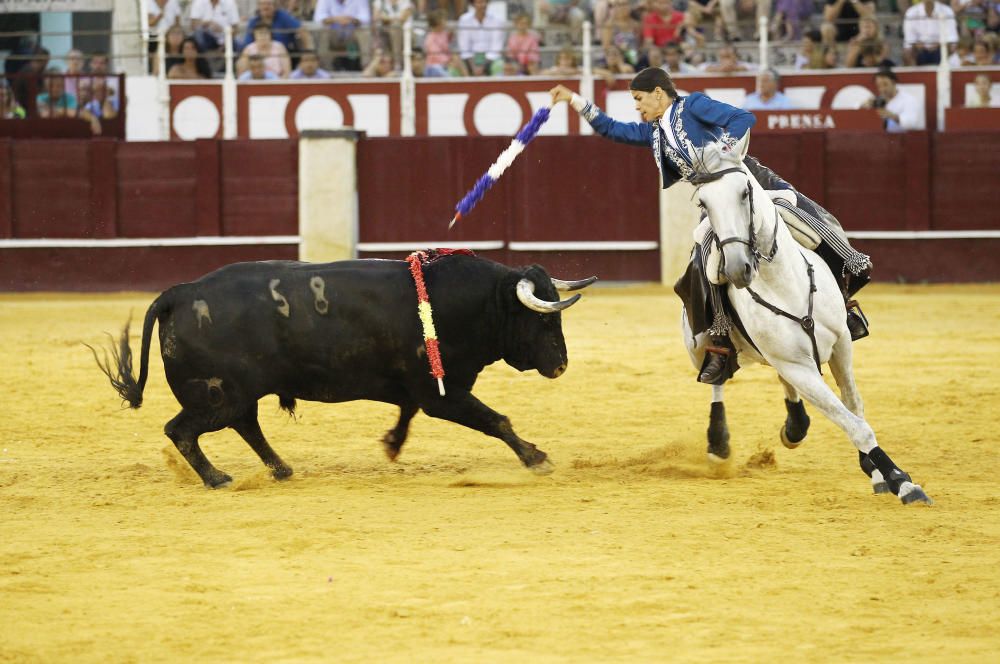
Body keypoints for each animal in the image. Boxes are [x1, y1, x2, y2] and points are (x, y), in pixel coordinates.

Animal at [92, 254, 592, 488]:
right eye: (543, 319)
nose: (561, 365)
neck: (475, 301)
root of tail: (179, 291)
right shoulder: (444, 394)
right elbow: (495, 420)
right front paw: (537, 458)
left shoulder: (421, 389)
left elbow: (407, 412)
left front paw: (391, 445)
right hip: (216, 395)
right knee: (182, 430)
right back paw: (219, 479)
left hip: (237, 394)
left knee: (246, 426)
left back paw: (281, 469)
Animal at [684, 145, 932, 506]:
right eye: (703, 203)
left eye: (745, 192)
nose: (736, 269)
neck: (783, 283)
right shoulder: (794, 364)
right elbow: (853, 423)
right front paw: (902, 482)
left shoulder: (841, 344)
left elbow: (853, 406)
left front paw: (875, 471)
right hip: (698, 344)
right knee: (716, 379)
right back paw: (718, 442)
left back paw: (795, 426)